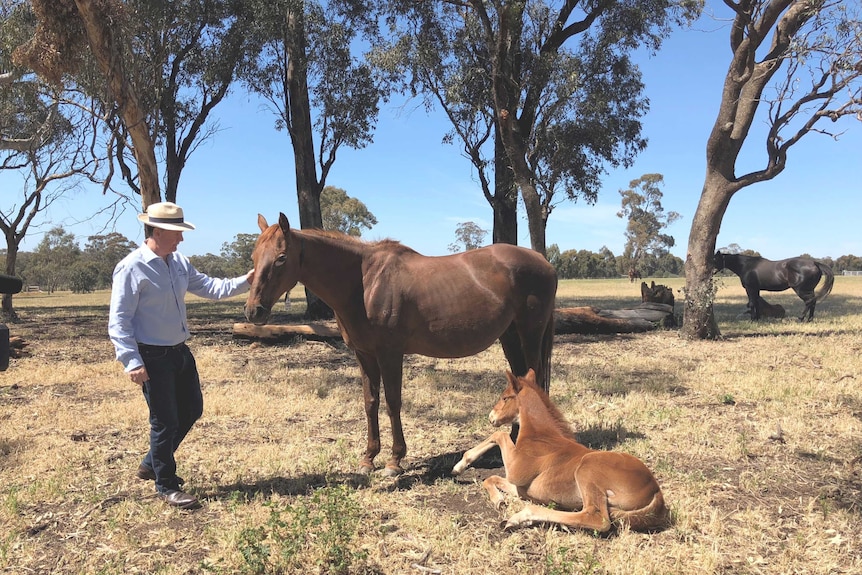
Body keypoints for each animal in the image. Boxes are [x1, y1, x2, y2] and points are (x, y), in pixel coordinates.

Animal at [246, 214, 556, 474]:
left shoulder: (390, 354)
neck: (364, 283)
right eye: (254, 256)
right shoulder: (364, 354)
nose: (253, 311)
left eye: (281, 258)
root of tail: (544, 262)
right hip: (510, 336)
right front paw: (368, 458)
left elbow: (392, 402)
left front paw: (394, 461)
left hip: (529, 334)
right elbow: (370, 402)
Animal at [456, 372, 672, 532]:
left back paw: (522, 517)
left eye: (505, 397)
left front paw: (460, 465)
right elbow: (491, 478)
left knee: (597, 519)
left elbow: (499, 435)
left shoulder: (517, 472)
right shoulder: (521, 489)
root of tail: (655, 490)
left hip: (588, 469)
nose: (491, 417)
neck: (541, 436)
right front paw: (499, 500)